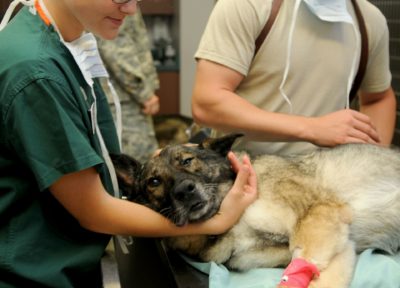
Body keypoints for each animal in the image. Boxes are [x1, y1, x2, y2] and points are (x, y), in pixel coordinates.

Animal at [111, 135, 400, 288]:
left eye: (187, 160)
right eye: (154, 181)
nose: (185, 190)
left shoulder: (318, 215)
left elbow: (305, 263)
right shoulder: (338, 245)